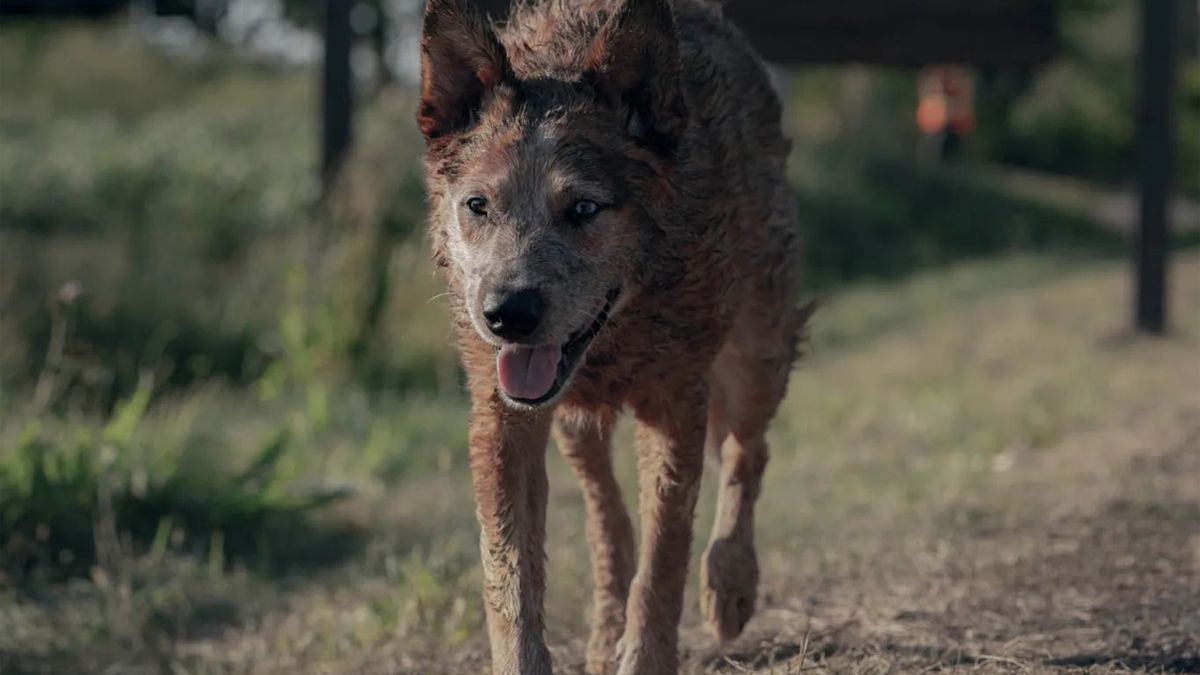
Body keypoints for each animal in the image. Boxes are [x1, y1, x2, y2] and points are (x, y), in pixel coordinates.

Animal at [417, 0, 801, 667]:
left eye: (584, 209)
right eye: (478, 206)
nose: (505, 313)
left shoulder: (676, 403)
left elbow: (663, 561)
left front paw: (646, 654)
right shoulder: (502, 418)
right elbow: (509, 581)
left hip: (759, 354)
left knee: (747, 450)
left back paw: (730, 585)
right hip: (575, 423)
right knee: (607, 516)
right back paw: (603, 630)